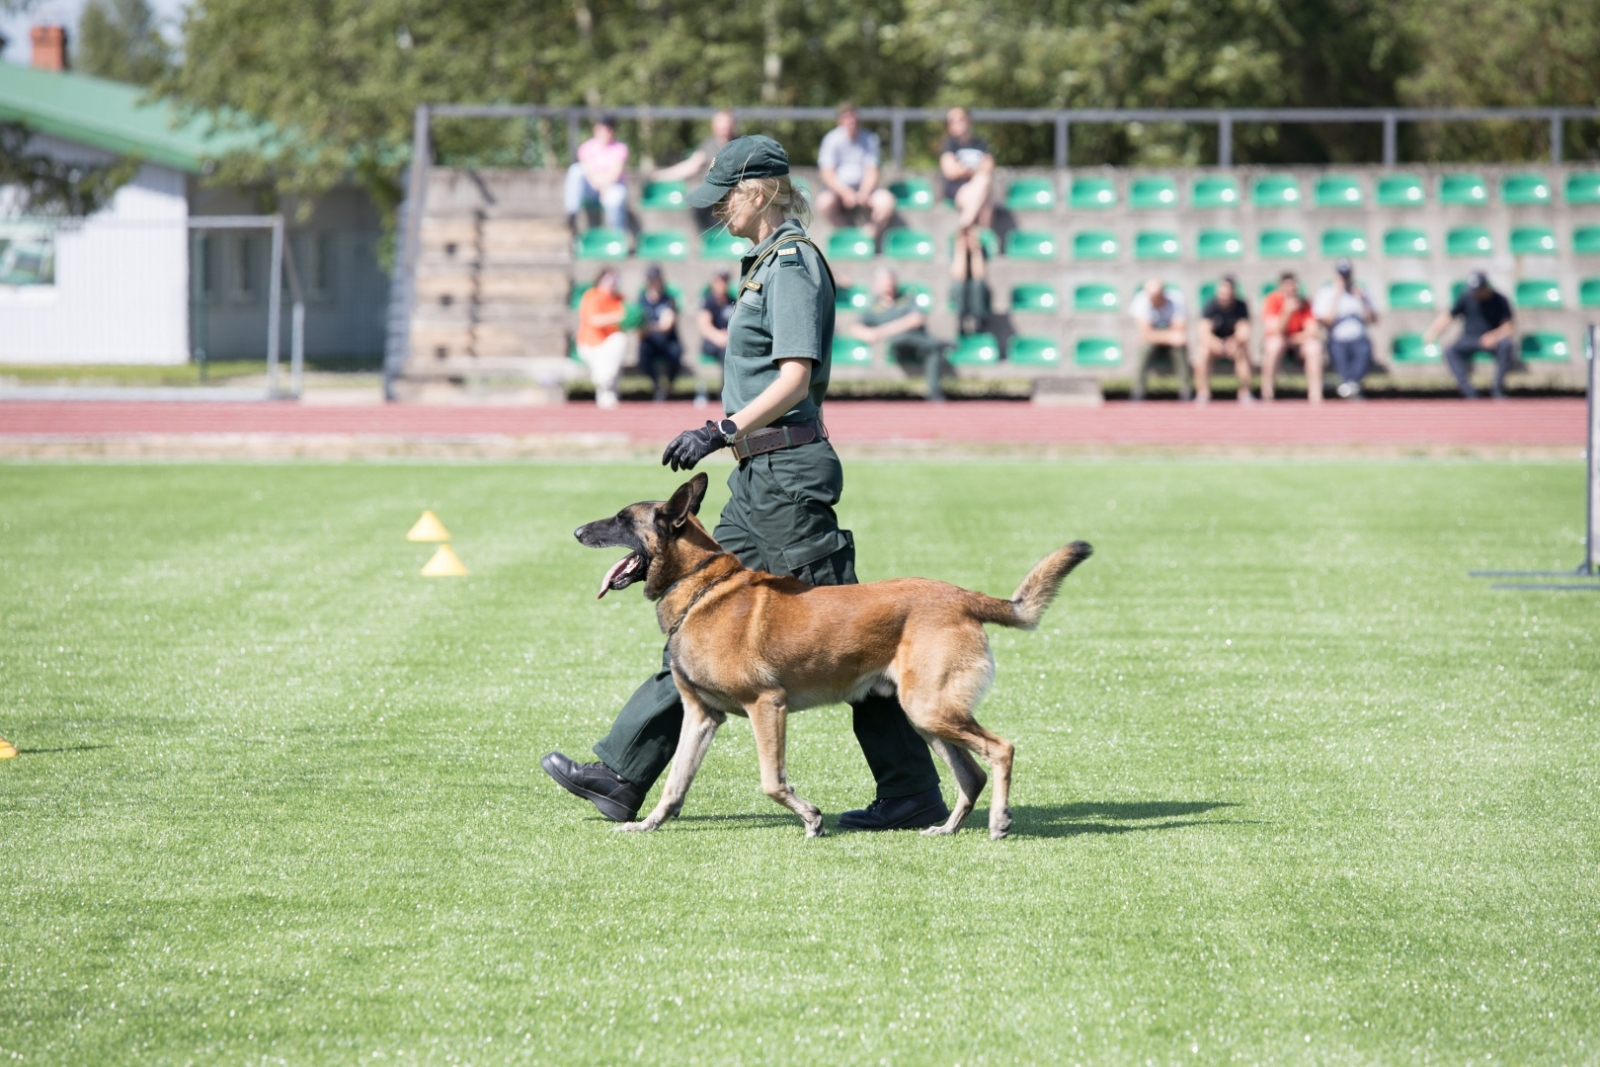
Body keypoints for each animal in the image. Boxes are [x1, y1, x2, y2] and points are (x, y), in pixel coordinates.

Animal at [582, 470, 1094, 838]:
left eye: (622, 519)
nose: (578, 530)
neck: (700, 587)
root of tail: (962, 596)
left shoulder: (767, 705)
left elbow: (772, 781)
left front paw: (811, 818)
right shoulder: (701, 716)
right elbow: (674, 783)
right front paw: (646, 824)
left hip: (931, 708)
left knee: (1001, 750)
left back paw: (999, 822)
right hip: (926, 716)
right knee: (971, 777)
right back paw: (947, 828)